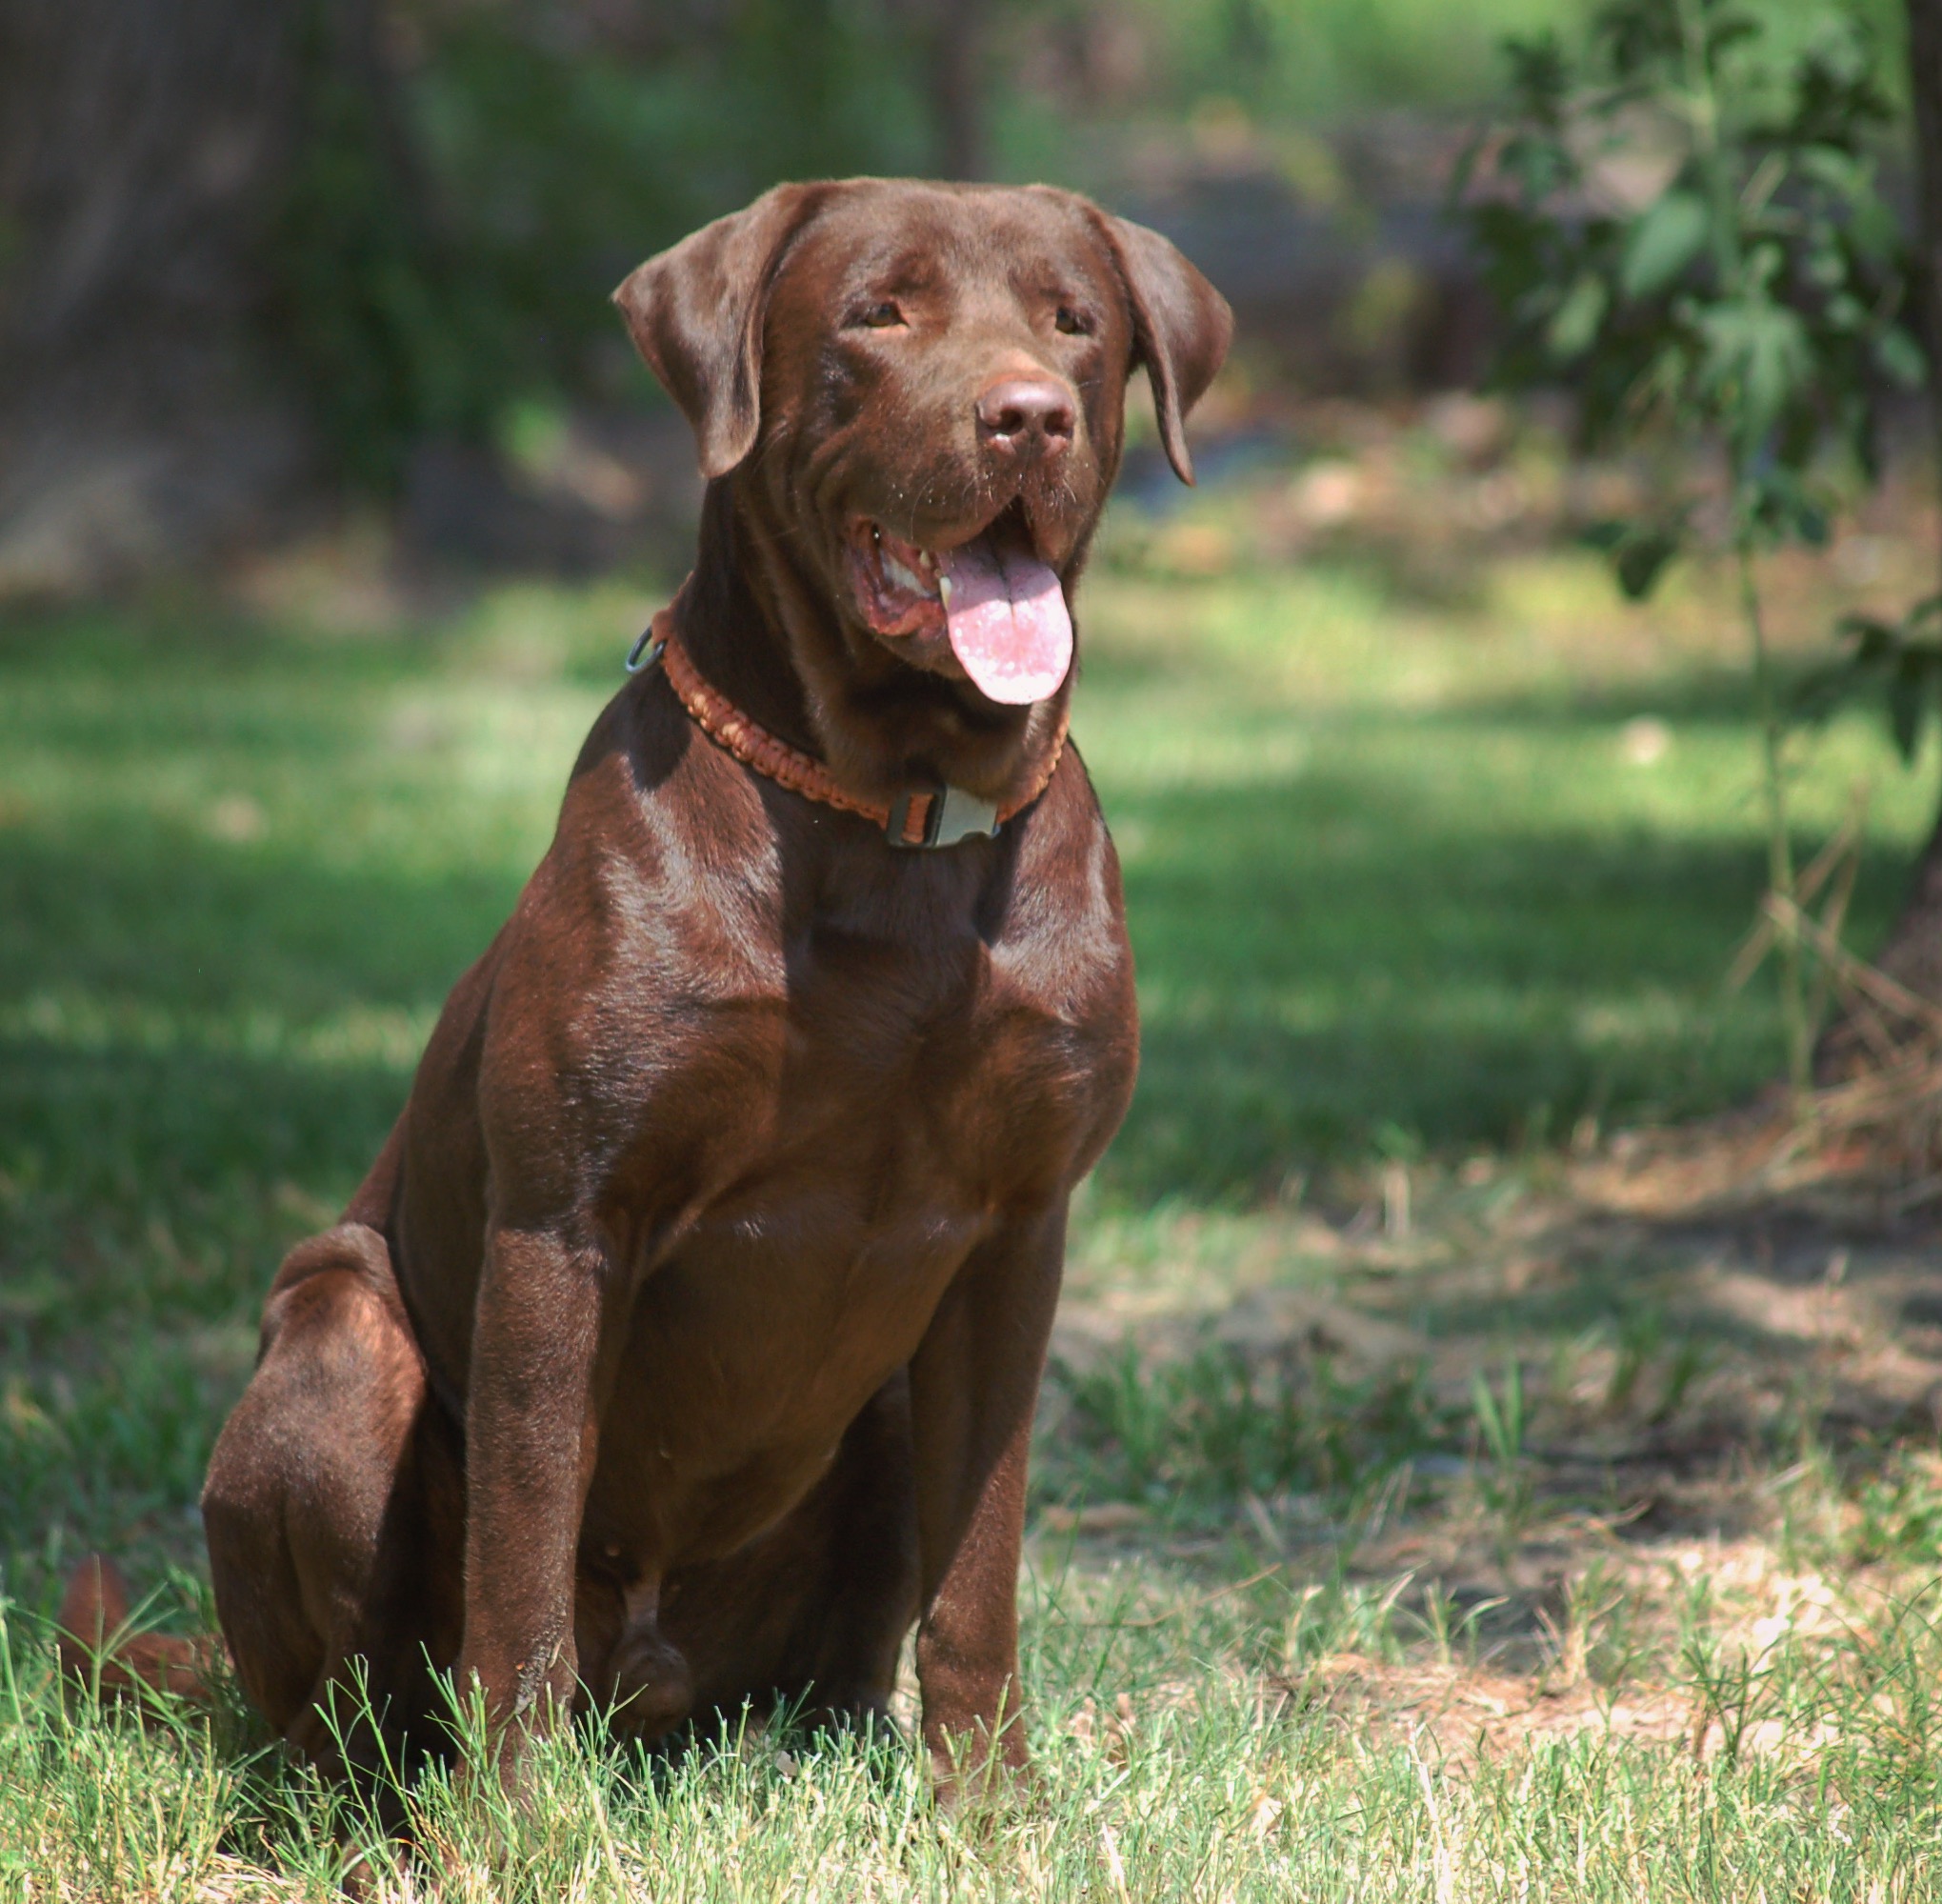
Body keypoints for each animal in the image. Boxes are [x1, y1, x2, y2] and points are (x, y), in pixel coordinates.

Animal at [83, 170, 1227, 1794]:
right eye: (879, 310)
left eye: (1074, 322)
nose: (1026, 417)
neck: (883, 815)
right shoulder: (566, 1221)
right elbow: (519, 1560)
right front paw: (514, 1824)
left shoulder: (1016, 1230)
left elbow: (977, 1571)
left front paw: (988, 1807)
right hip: (338, 1331)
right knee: (346, 1703)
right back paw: (381, 1800)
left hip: (875, 1410)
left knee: (836, 1651)